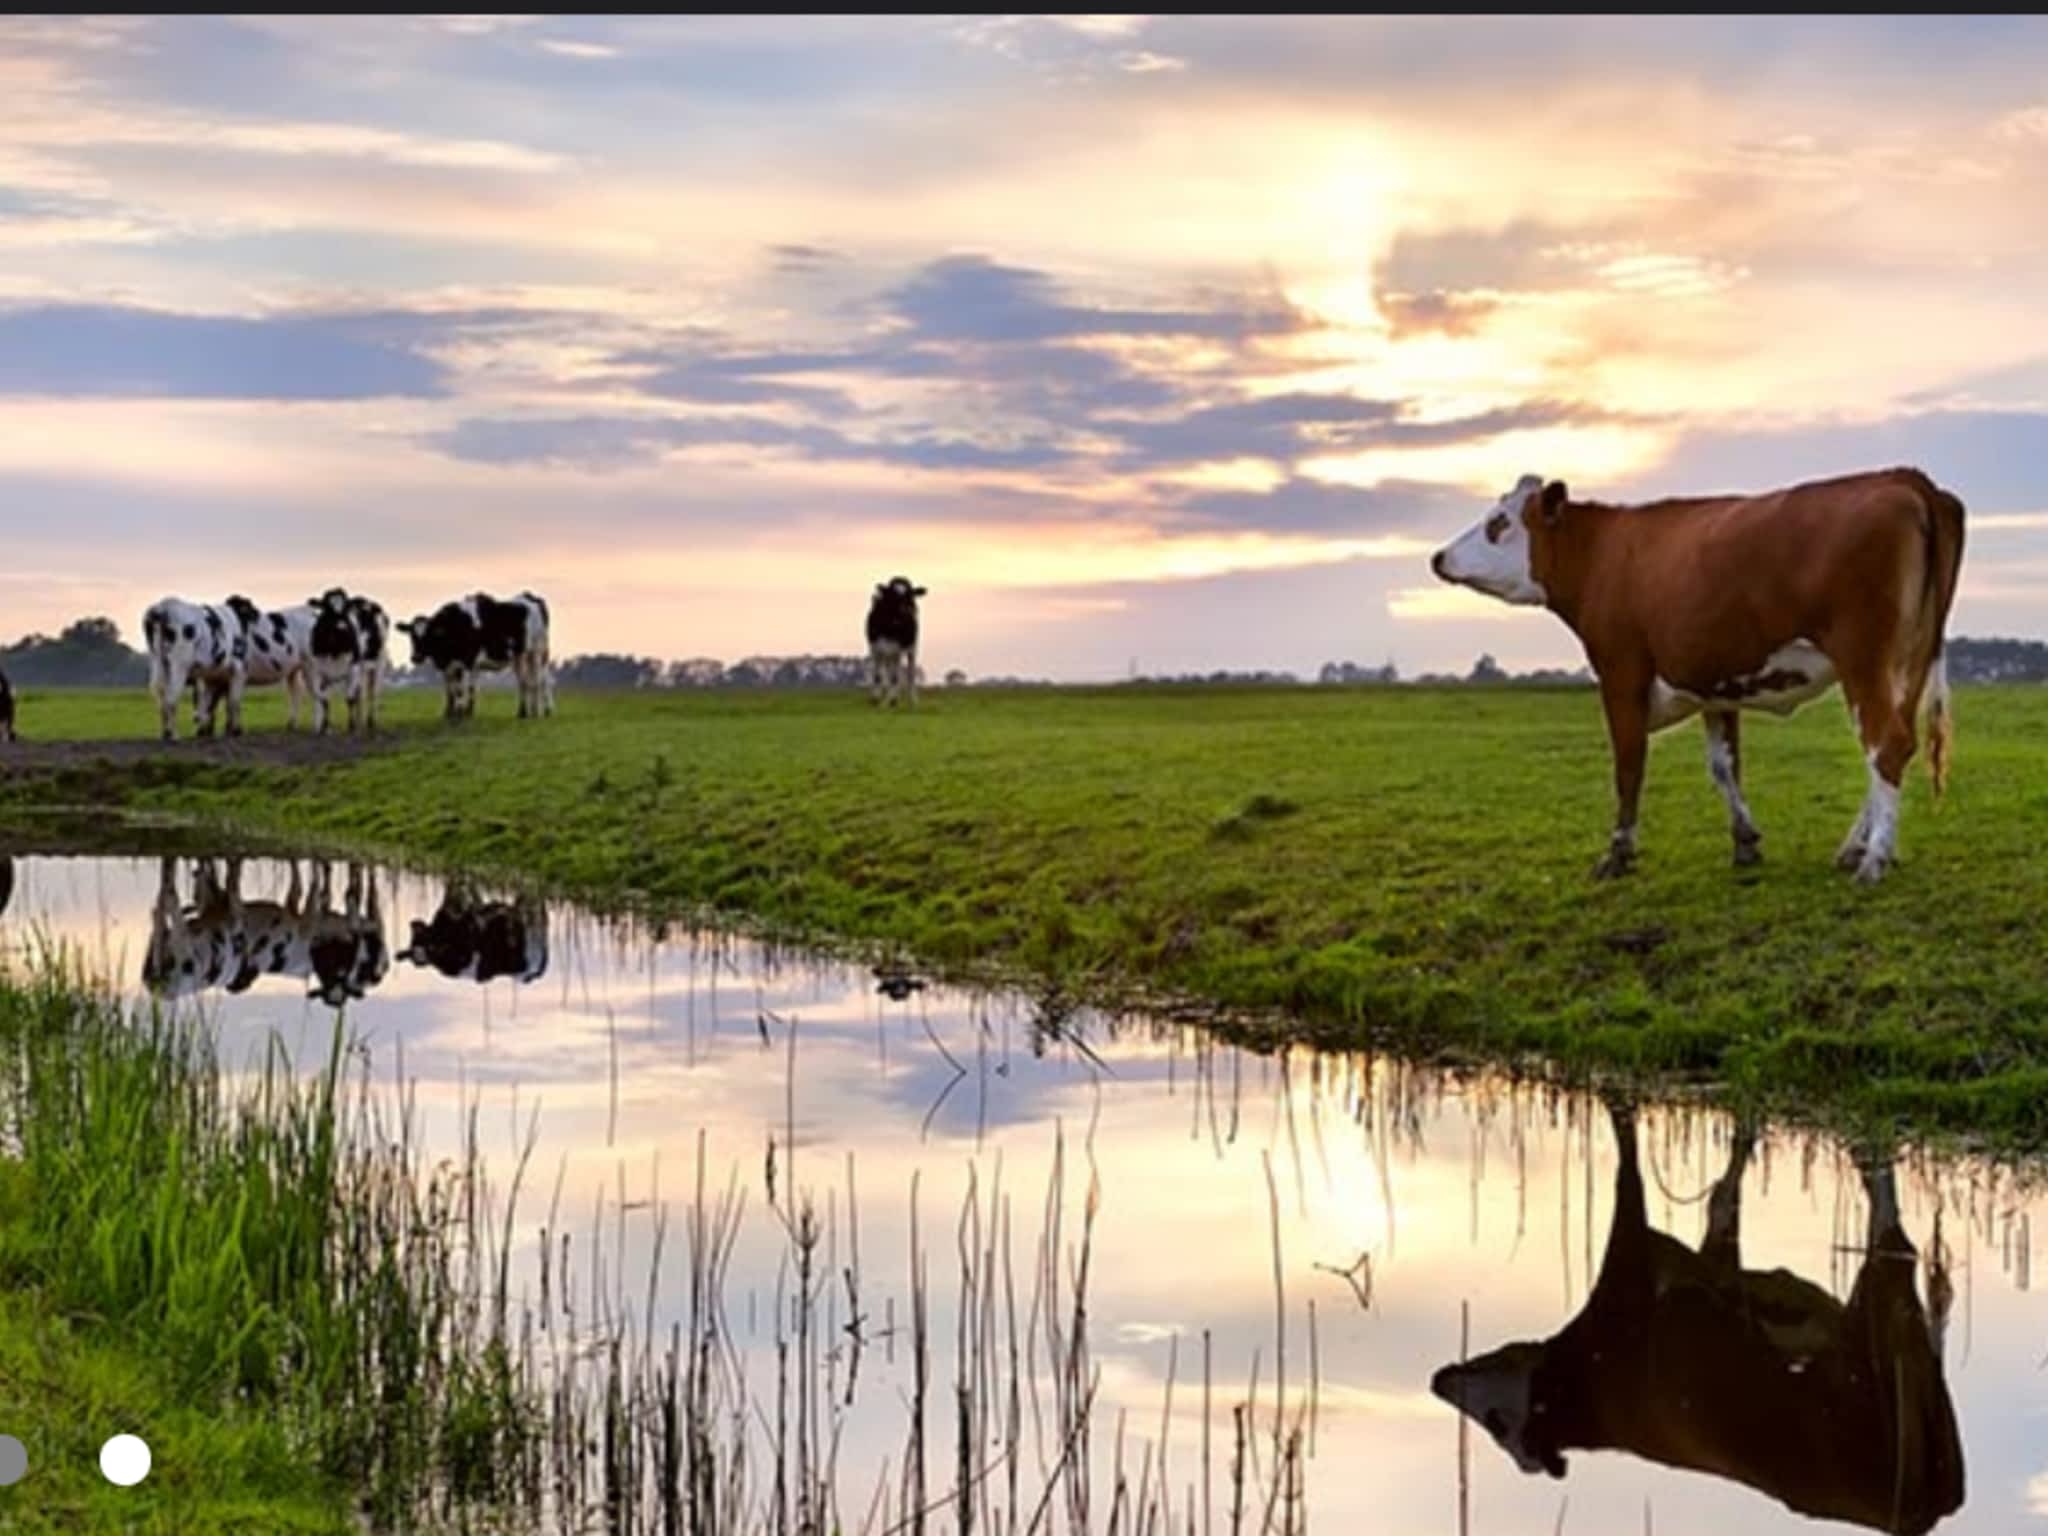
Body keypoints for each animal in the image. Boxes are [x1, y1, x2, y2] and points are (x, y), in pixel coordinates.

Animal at [143, 598, 246, 741]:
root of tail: (164, 605)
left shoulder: (209, 676)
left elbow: (206, 704)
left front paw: (204, 730)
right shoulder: (238, 669)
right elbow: (233, 701)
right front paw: (234, 730)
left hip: (158, 663)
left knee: (161, 698)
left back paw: (165, 733)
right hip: (179, 664)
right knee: (171, 697)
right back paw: (173, 735)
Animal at [391, 593, 548, 729]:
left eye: (430, 634)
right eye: (412, 635)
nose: (416, 657)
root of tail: (529, 596)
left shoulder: (467, 662)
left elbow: (462, 690)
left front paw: (462, 714)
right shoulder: (448, 667)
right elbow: (451, 690)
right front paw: (450, 713)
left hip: (536, 651)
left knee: (538, 681)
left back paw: (537, 712)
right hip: (519, 656)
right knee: (524, 682)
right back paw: (523, 712)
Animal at [864, 577, 929, 708]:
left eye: (910, 594)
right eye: (893, 595)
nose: (908, 609)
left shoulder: (897, 649)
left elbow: (895, 676)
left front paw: (893, 700)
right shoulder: (875, 648)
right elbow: (878, 675)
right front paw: (876, 699)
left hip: (911, 648)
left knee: (909, 672)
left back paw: (911, 700)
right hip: (887, 652)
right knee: (889, 671)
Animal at [1433, 462, 1957, 884]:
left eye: (1498, 523)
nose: (1438, 557)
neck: (1605, 553)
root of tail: (1902, 478)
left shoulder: (1622, 672)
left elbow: (1629, 765)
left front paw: (1618, 854)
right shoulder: (1715, 686)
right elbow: (1725, 765)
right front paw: (1745, 841)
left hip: (1862, 659)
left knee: (1885, 744)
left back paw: (1874, 860)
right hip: (1905, 663)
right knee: (1896, 742)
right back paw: (1855, 847)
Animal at [1433, 1097, 1957, 1536]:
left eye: (1497, 1423)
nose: (1438, 1382)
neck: (1589, 1385)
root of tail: (1915, 1515)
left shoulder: (1626, 1267)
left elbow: (1628, 1154)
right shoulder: (1708, 1268)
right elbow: (1724, 1198)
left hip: (1876, 1347)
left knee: (1894, 1244)